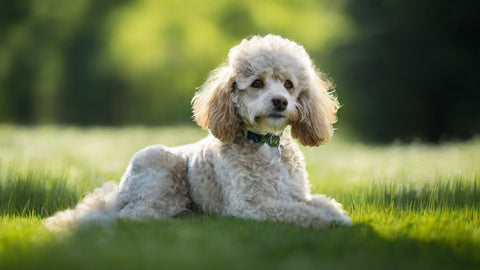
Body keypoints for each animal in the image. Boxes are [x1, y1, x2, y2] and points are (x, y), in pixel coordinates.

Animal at [45, 34, 350, 231]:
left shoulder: (296, 194)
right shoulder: (251, 205)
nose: (280, 102)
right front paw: (323, 221)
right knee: (135, 215)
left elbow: (325, 204)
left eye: (288, 84)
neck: (266, 145)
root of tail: (119, 191)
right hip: (162, 170)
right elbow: (298, 212)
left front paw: (338, 217)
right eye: (257, 84)